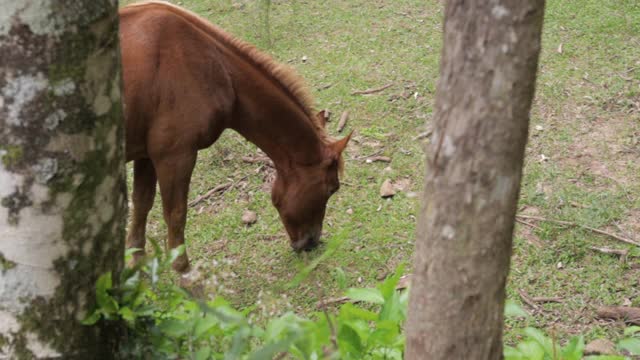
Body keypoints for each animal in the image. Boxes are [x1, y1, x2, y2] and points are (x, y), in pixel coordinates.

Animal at [119, 1, 350, 272]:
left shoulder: (146, 154)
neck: (213, 65)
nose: (311, 243)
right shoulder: (175, 156)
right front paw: (184, 273)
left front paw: (135, 265)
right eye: (332, 189)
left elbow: (141, 206)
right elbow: (176, 216)